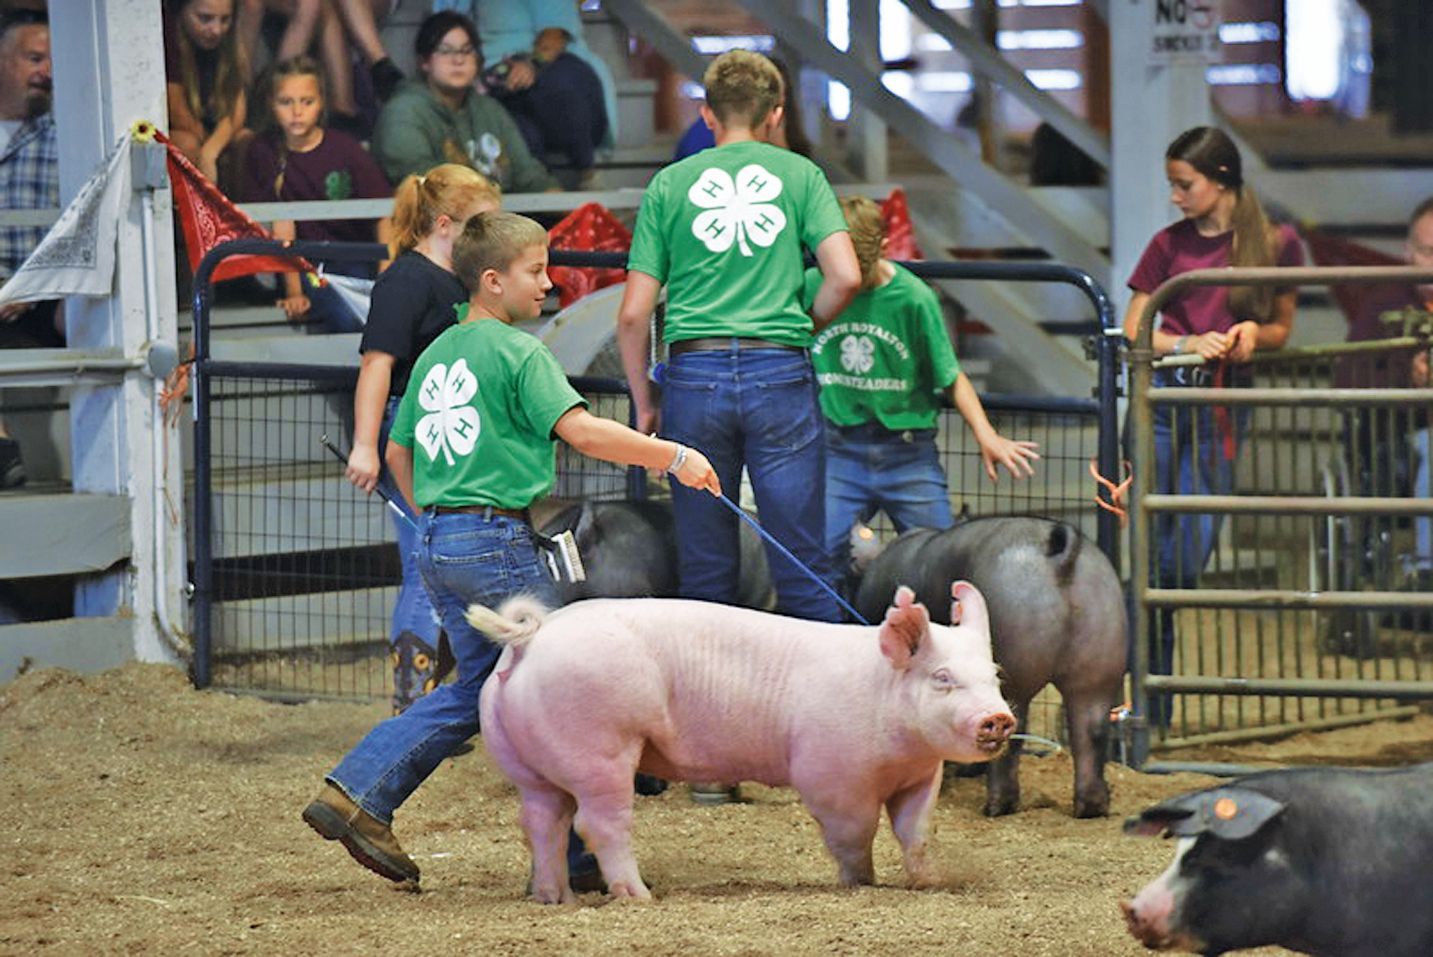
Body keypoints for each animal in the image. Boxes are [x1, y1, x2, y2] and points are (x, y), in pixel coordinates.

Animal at [468, 584, 1015, 902]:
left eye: (994, 674)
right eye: (942, 678)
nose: (999, 718)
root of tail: (530, 638)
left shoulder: (922, 776)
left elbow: (915, 831)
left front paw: (928, 882)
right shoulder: (831, 775)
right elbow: (853, 834)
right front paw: (861, 882)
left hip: (529, 766)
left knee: (542, 822)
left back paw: (553, 898)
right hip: (600, 746)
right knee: (598, 823)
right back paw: (639, 895)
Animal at [852, 518, 1126, 818]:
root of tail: (1060, 548)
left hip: (1013, 660)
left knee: (1011, 732)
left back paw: (996, 807)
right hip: (1100, 659)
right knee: (1091, 731)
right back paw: (1091, 807)